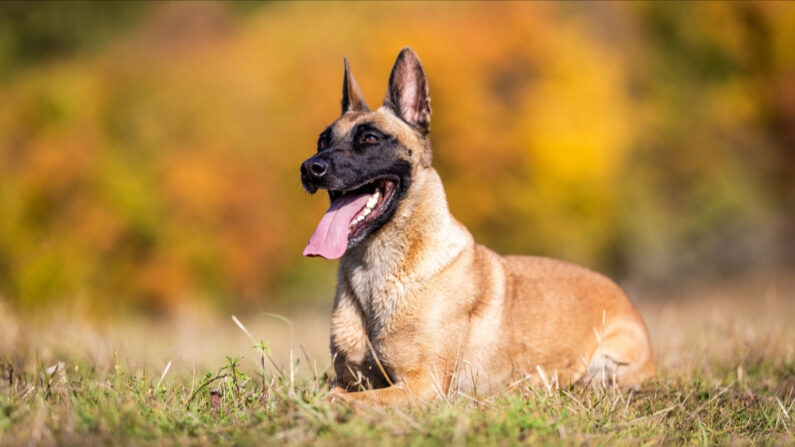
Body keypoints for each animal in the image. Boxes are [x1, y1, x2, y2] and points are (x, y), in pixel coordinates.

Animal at [298, 48, 652, 406]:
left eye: (370, 138)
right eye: (322, 141)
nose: (310, 168)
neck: (377, 272)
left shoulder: (424, 384)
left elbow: (339, 398)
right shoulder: (352, 376)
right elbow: (333, 389)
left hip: (609, 365)